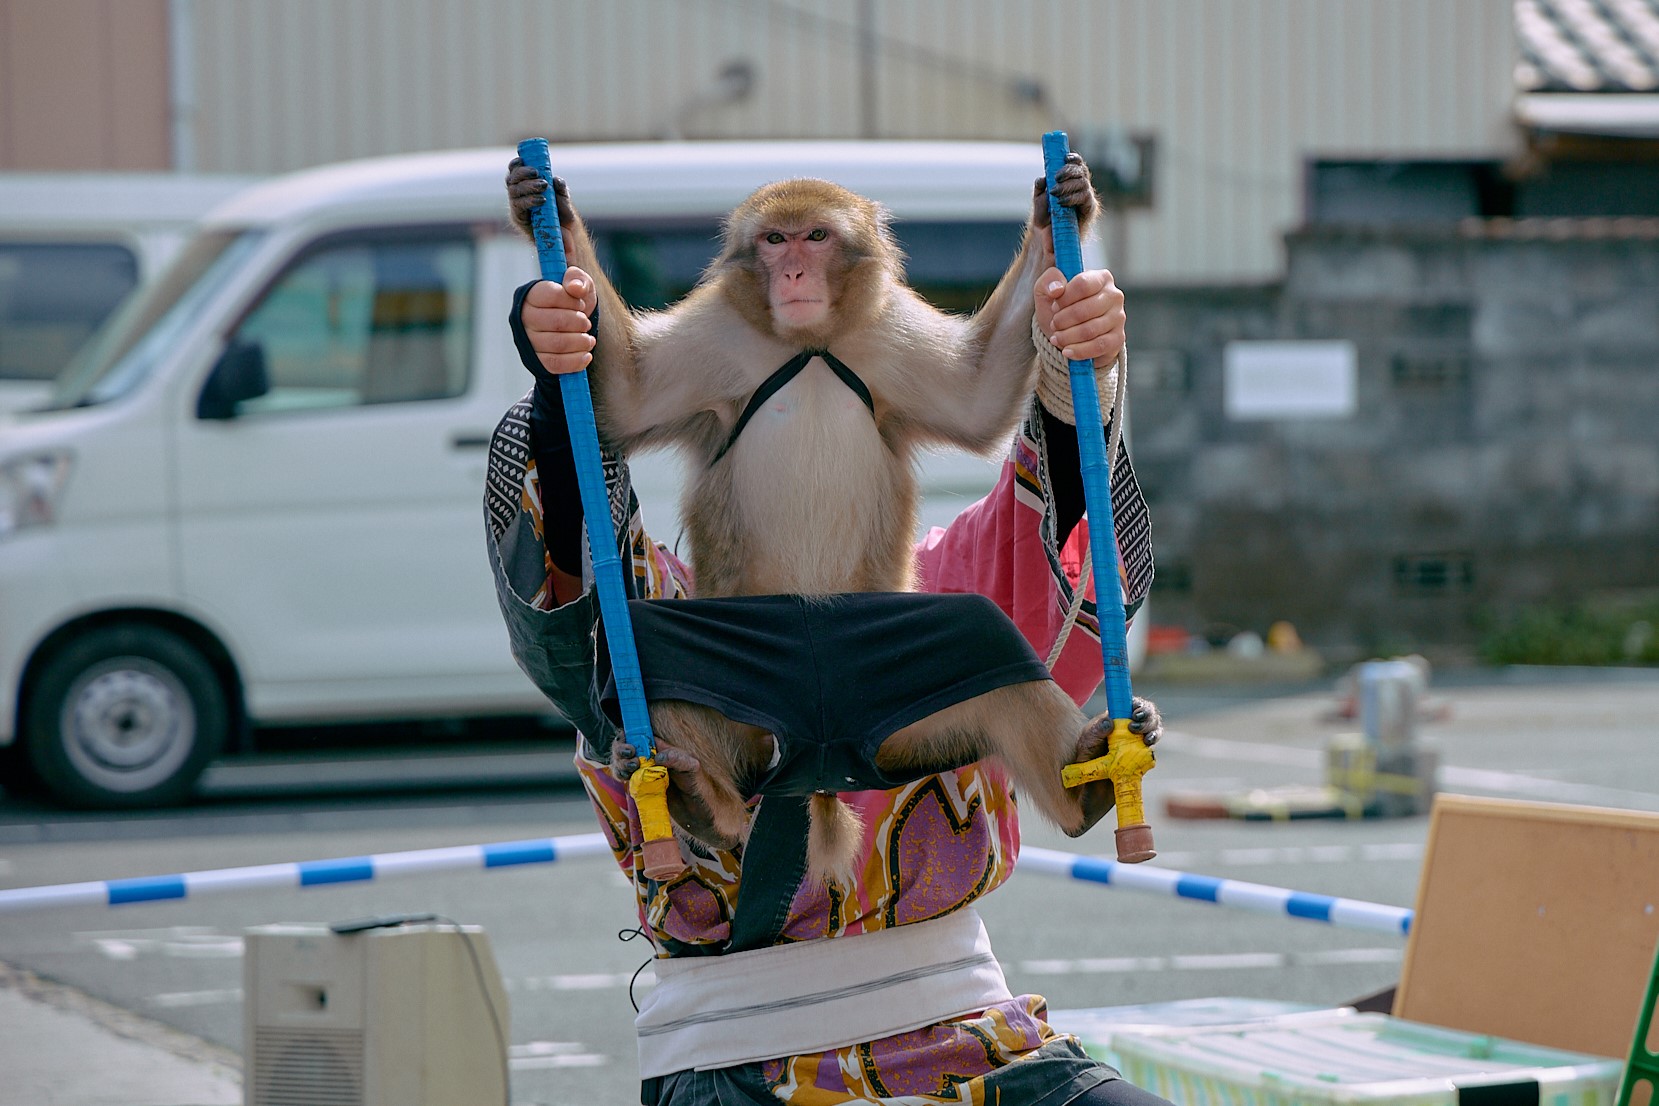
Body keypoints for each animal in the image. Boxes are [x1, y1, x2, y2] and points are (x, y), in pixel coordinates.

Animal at [510, 157, 1161, 882]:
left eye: (815, 237)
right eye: (775, 241)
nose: (793, 273)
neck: (810, 341)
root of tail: (820, 767)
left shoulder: (885, 332)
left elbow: (978, 394)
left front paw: (1062, 217)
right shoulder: (716, 335)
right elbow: (623, 395)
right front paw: (547, 271)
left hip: (910, 716)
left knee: (985, 639)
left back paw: (1089, 785)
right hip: (748, 721)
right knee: (657, 645)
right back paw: (695, 797)